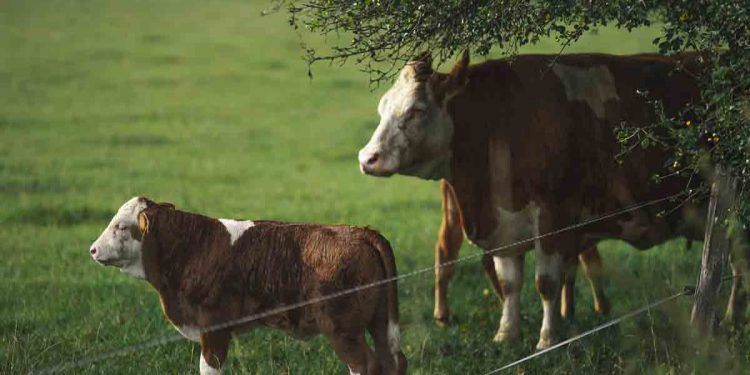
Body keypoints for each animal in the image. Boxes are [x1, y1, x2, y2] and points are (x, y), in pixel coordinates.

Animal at [90, 198, 408, 374]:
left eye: (121, 226)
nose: (92, 250)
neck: (192, 248)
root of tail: (359, 231)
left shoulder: (214, 327)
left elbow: (209, 367)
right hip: (379, 321)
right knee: (393, 361)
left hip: (342, 328)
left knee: (365, 364)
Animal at [356, 50, 748, 350]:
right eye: (381, 108)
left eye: (417, 110)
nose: (367, 158)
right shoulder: (505, 225)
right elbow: (510, 283)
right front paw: (506, 335)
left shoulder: (552, 218)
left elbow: (545, 283)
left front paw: (547, 340)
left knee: (739, 264)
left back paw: (731, 319)